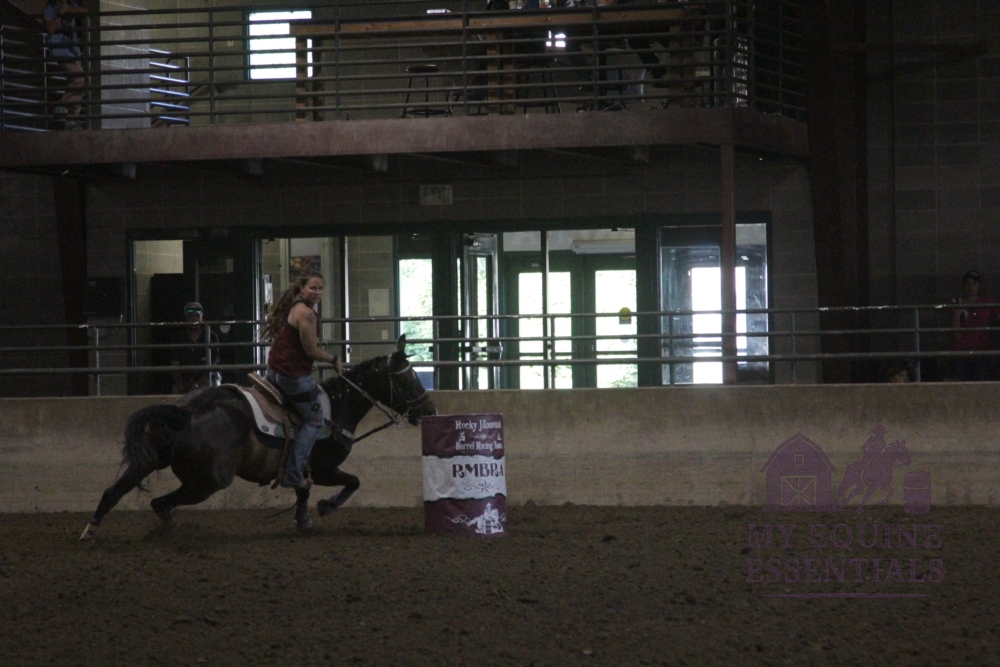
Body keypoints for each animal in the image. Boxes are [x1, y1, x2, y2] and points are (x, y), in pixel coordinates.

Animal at [79, 336, 436, 539]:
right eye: (409, 379)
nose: (429, 410)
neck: (337, 405)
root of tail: (189, 410)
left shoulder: (304, 470)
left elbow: (303, 491)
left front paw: (303, 518)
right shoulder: (323, 469)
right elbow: (352, 482)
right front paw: (326, 507)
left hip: (151, 459)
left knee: (114, 492)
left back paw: (90, 531)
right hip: (208, 482)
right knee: (160, 503)